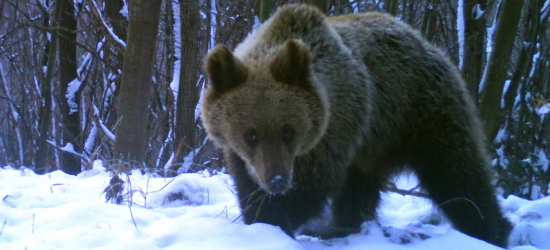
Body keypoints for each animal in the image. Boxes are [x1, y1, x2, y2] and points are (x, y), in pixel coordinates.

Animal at [202, 3, 512, 248]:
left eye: (288, 130)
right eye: (251, 134)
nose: (277, 180)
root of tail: (430, 45)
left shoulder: (333, 134)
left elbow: (309, 189)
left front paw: (276, 220)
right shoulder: (243, 157)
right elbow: (248, 187)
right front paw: (260, 219)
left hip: (423, 115)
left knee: (458, 175)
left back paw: (492, 231)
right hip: (373, 145)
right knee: (360, 187)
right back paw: (346, 226)